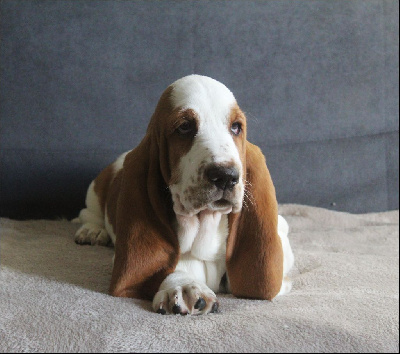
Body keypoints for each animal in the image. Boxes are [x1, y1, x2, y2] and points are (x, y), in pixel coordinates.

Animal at [74, 74, 294, 316]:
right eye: (185, 127)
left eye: (236, 127)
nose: (226, 176)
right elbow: (170, 263)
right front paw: (184, 287)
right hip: (95, 190)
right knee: (88, 213)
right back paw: (92, 231)